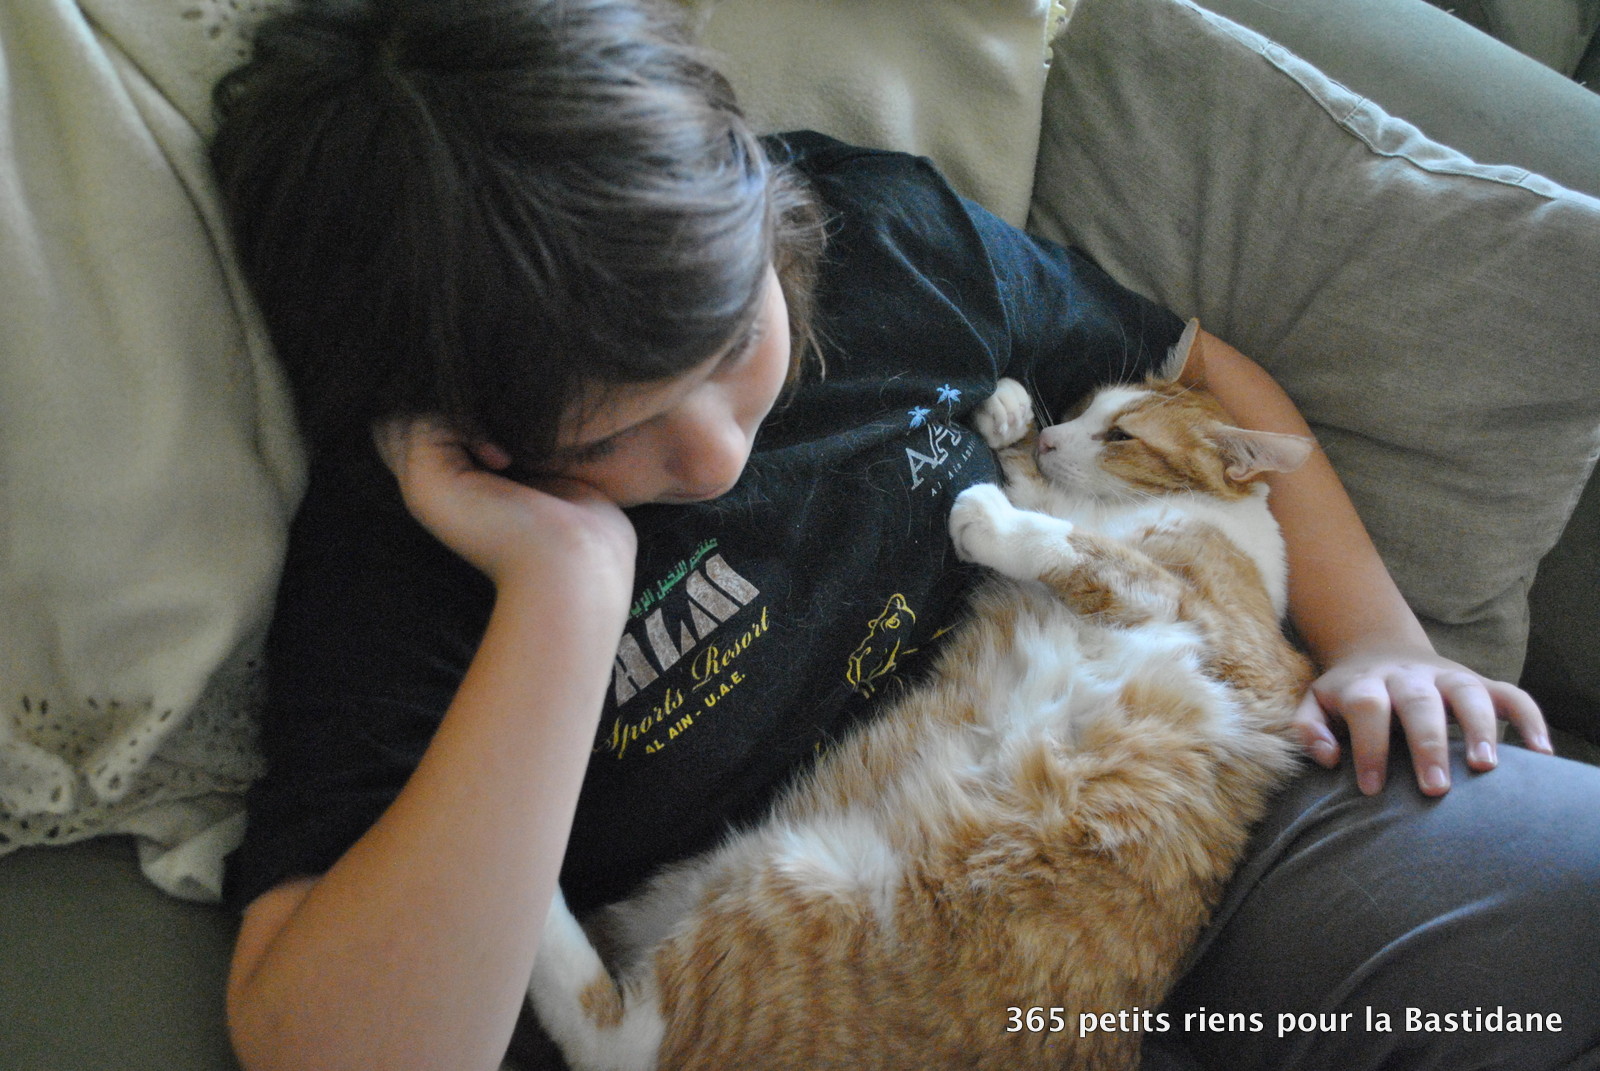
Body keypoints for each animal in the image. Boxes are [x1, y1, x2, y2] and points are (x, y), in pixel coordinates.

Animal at [528, 320, 1316, 1071]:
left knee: (614, 1034)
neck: (1202, 512)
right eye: (1090, 406)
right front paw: (1010, 415)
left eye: (1121, 436)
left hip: (794, 900)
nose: (1056, 434)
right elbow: (1052, 501)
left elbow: (1080, 549)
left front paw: (994, 517)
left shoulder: (1200, 621)